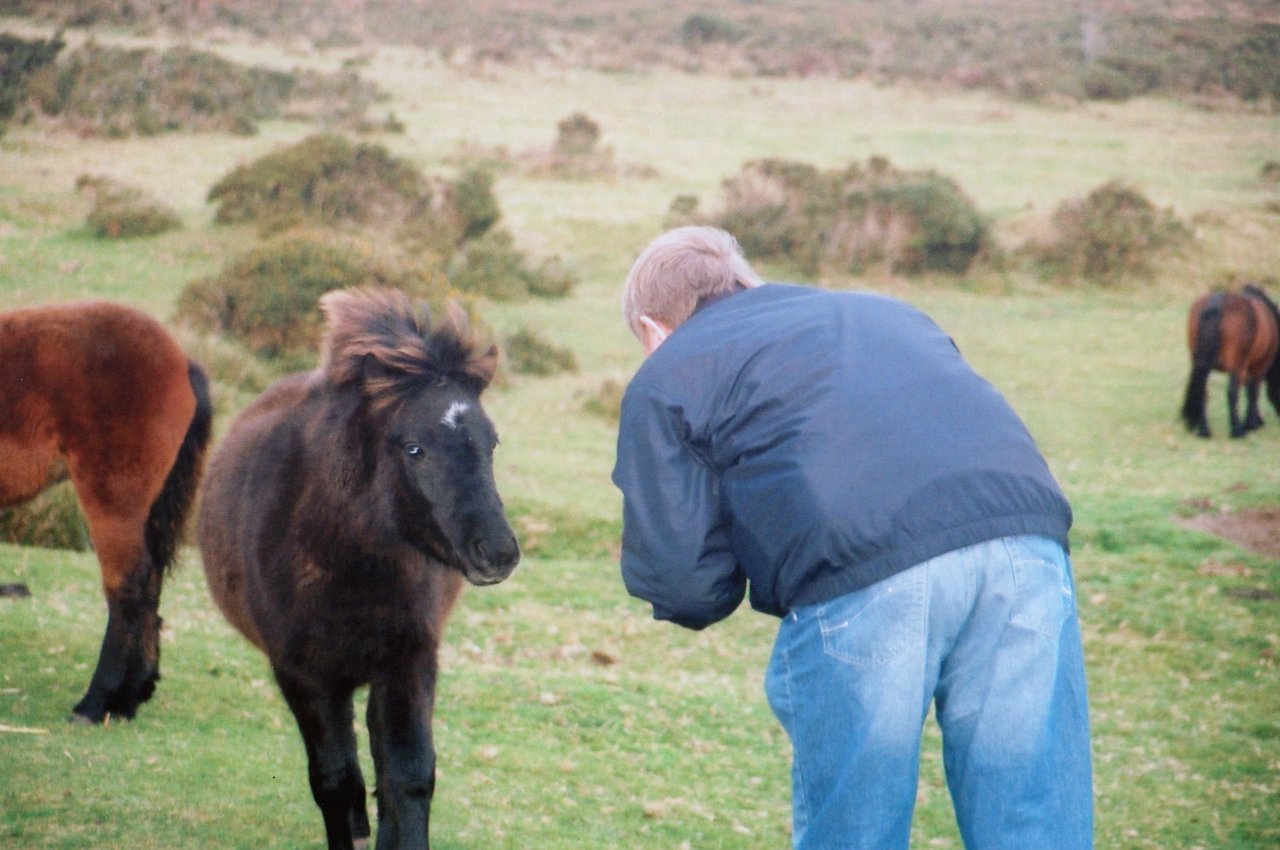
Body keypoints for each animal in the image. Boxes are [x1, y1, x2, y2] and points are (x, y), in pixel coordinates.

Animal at [0, 302, 212, 721]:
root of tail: (181, 361)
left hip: (112, 503)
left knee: (127, 586)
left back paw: (97, 701)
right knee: (149, 584)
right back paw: (131, 697)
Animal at [197, 286, 517, 850]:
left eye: (490, 443)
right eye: (414, 448)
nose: (498, 553)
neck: (344, 565)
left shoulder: (409, 660)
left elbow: (408, 774)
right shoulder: (304, 673)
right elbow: (334, 780)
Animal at [1177, 285, 1280, 437]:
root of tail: (1217, 302)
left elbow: (1249, 390)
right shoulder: (1259, 365)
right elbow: (1253, 392)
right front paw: (1252, 423)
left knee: (1203, 392)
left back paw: (1204, 430)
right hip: (1236, 365)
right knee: (1232, 392)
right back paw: (1237, 430)